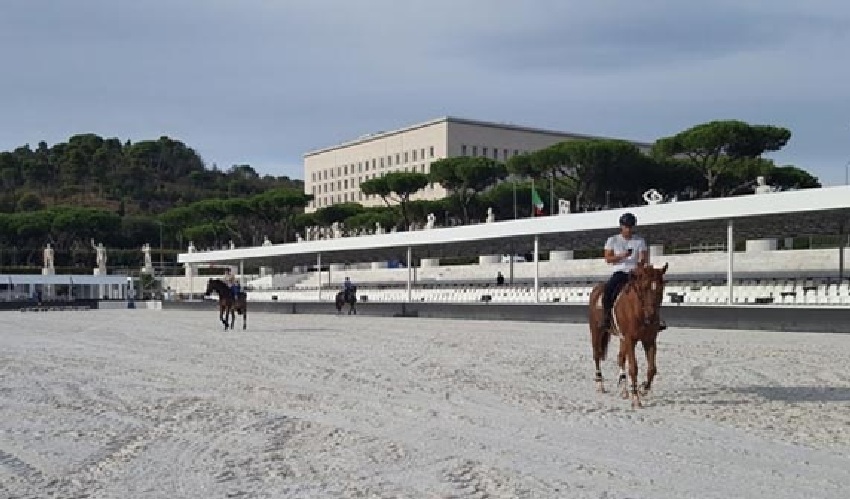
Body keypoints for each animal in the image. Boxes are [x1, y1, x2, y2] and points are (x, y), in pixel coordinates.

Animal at [588, 264, 664, 408]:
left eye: (661, 288)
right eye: (644, 287)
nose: (651, 316)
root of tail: (596, 289)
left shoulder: (649, 340)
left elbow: (652, 368)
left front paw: (643, 389)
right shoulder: (630, 340)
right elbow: (633, 367)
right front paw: (636, 398)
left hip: (621, 338)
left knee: (620, 358)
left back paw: (624, 390)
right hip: (596, 331)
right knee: (596, 355)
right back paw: (600, 384)